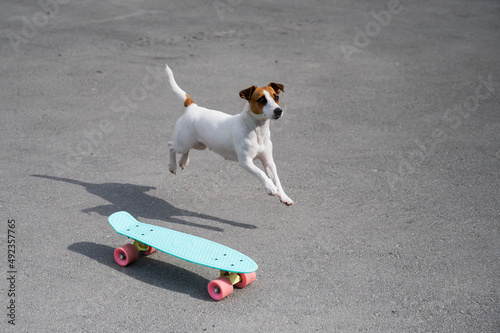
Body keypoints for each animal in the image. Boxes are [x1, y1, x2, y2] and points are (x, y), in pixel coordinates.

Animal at [166, 64, 294, 205]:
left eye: (276, 97)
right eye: (261, 100)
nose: (278, 111)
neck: (257, 130)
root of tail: (192, 107)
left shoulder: (269, 162)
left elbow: (276, 179)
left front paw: (284, 196)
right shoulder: (245, 161)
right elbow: (260, 173)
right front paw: (270, 187)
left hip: (198, 144)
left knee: (186, 150)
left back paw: (183, 161)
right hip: (182, 142)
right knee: (171, 146)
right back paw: (172, 166)